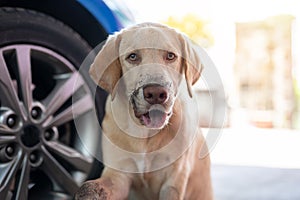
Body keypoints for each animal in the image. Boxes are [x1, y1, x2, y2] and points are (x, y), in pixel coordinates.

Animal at [75, 22, 213, 199]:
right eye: (132, 57)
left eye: (170, 56)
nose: (156, 93)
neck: (145, 135)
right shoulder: (119, 174)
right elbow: (88, 187)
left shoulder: (174, 179)